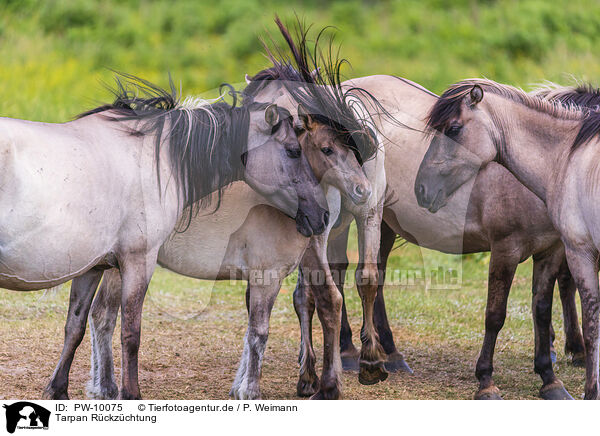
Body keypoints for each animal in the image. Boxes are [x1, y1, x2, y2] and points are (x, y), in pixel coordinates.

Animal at [414, 77, 600, 398]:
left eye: (453, 129)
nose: (421, 187)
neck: (567, 158)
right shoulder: (518, 249)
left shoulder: (566, 250)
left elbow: (553, 314)